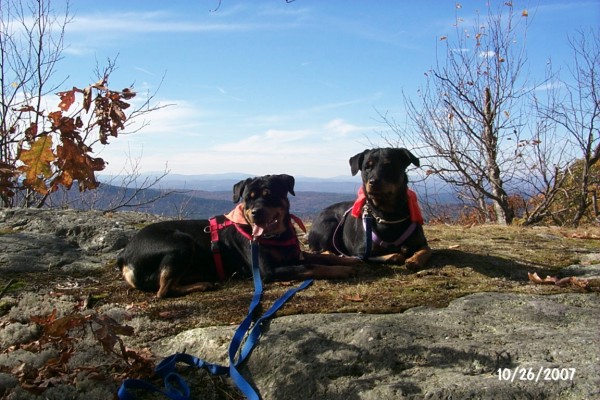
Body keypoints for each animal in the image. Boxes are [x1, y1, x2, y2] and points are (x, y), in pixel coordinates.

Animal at [119, 173, 358, 296]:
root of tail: (124, 255)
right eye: (246, 199)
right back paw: (201, 285)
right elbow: (312, 266)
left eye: (268, 195)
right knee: (163, 291)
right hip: (181, 243)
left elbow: (319, 256)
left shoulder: (295, 254)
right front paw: (340, 270)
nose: (255, 212)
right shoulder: (268, 270)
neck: (276, 236)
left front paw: (348, 260)